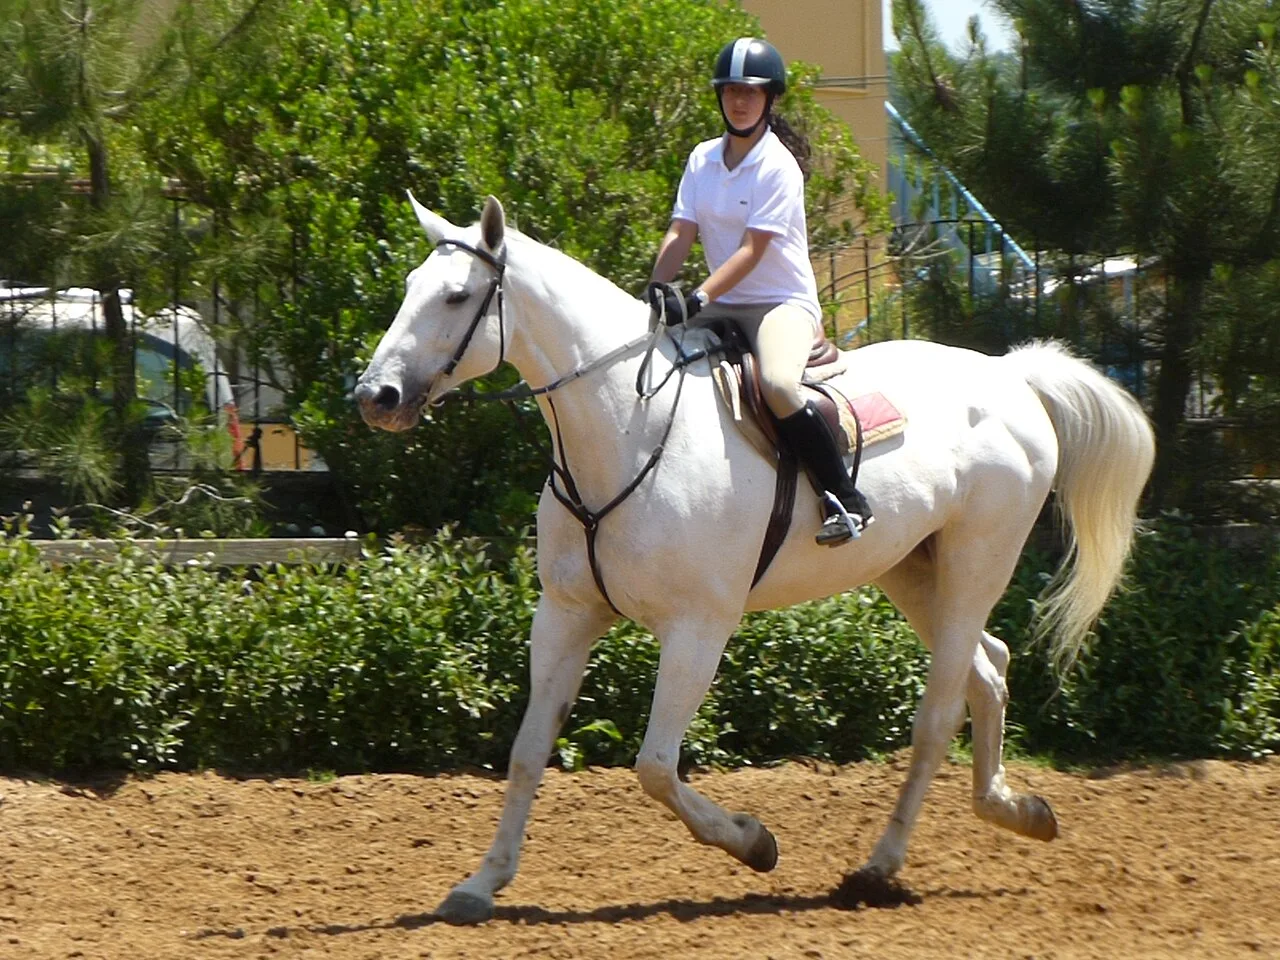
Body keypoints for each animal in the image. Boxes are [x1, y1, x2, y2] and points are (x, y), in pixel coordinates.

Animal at [354, 194, 1155, 925]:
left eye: (457, 296)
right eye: (409, 287)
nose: (375, 395)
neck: (626, 425)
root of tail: (1010, 376)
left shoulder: (698, 629)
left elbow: (653, 766)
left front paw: (753, 842)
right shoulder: (565, 616)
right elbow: (526, 752)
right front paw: (481, 884)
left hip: (974, 565)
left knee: (937, 713)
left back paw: (879, 867)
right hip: (912, 570)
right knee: (988, 668)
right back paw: (1015, 809)